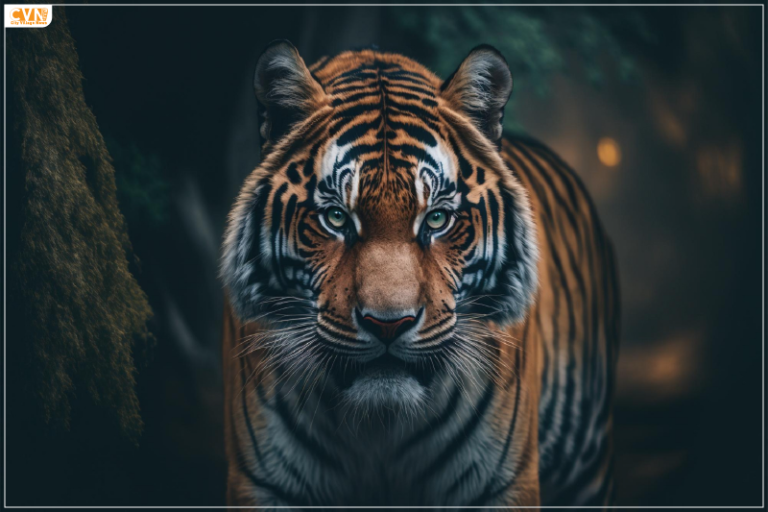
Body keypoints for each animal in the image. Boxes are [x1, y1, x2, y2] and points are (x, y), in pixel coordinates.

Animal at [220, 40, 620, 508]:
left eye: (437, 219)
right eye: (336, 218)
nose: (388, 324)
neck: (378, 428)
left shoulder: (501, 483)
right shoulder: (264, 482)